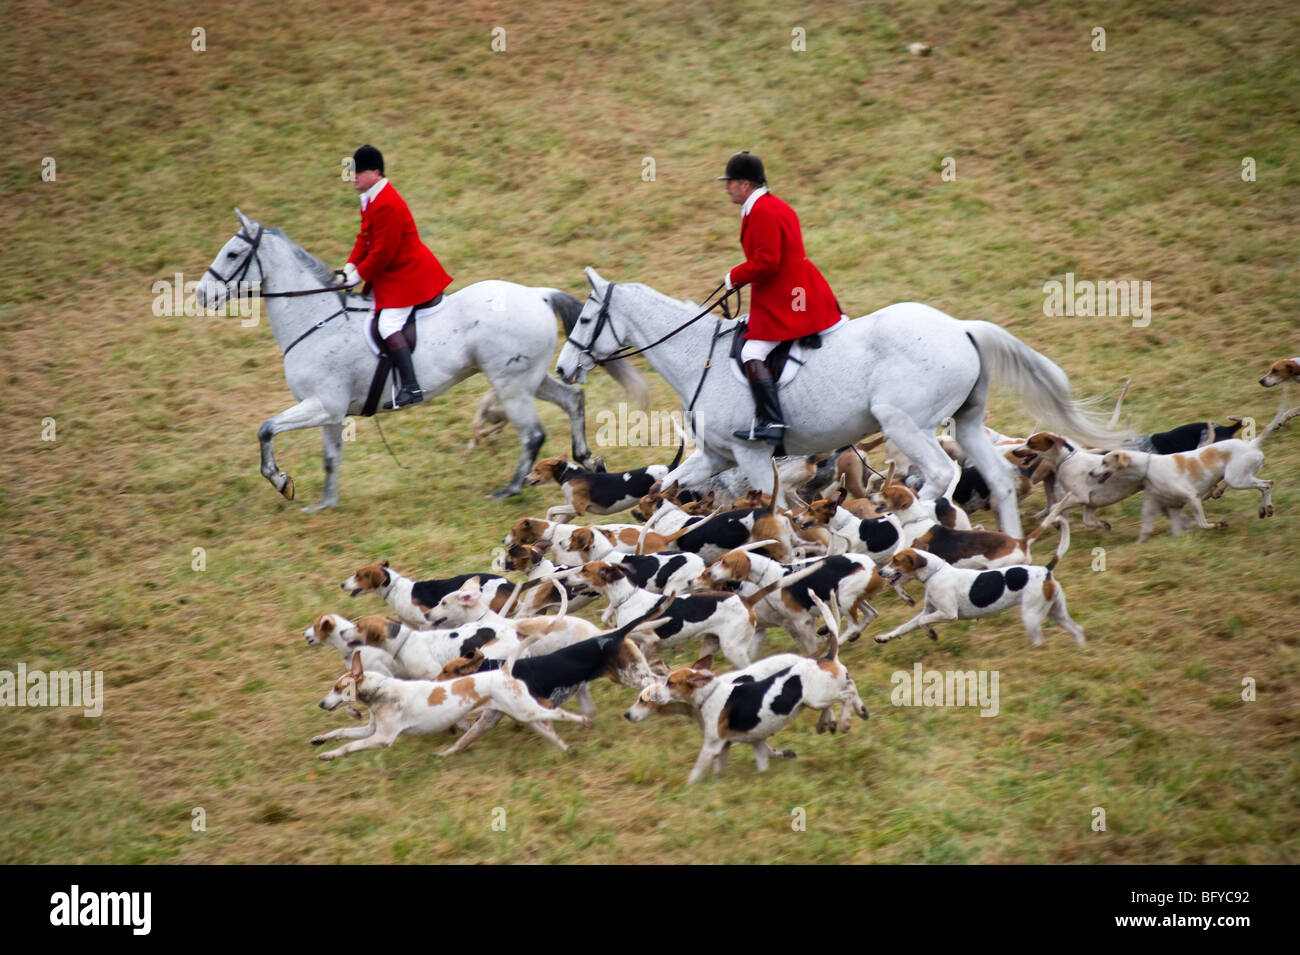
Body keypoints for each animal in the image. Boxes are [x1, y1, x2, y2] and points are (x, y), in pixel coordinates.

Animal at [553, 265, 1123, 540]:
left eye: (586, 318)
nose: (562, 369)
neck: (701, 358)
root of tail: (961, 327)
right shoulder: (715, 456)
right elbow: (668, 486)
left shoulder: (753, 456)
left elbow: (774, 506)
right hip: (966, 423)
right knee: (999, 480)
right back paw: (1011, 553)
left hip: (905, 424)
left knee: (939, 476)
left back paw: (913, 522)